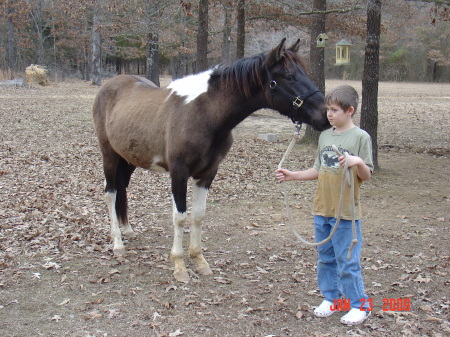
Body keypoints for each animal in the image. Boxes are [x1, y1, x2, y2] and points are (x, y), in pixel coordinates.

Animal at [92, 38, 330, 282]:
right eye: (290, 76)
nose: (326, 115)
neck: (203, 113)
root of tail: (109, 86)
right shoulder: (179, 173)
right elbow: (180, 217)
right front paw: (179, 266)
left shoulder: (207, 174)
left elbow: (198, 216)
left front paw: (199, 260)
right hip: (109, 155)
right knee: (111, 192)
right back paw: (118, 243)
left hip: (128, 159)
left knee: (122, 189)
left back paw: (127, 229)